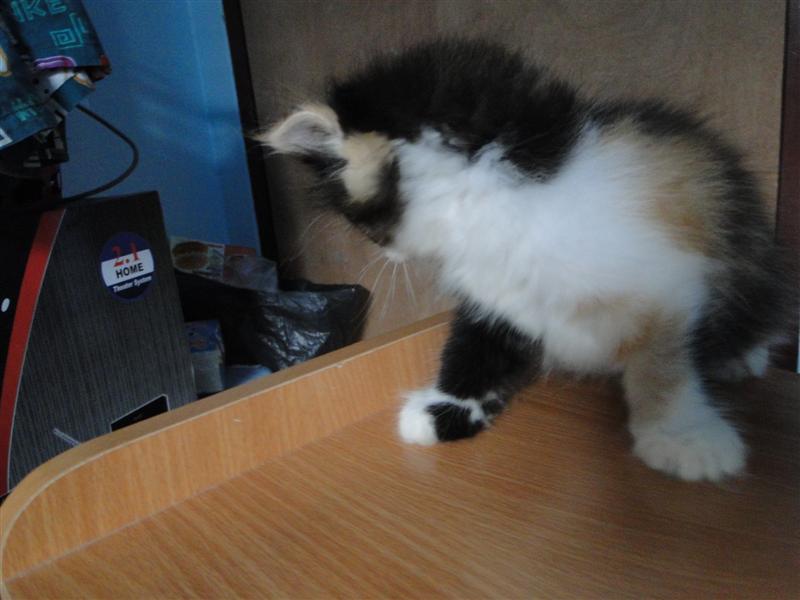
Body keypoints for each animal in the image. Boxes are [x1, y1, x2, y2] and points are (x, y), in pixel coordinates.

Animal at [260, 39, 791, 482]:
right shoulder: (496, 297)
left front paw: (682, 436)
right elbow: (471, 348)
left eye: (359, 221)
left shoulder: (671, 280)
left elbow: (663, 363)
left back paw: (741, 356)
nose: (380, 248)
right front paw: (446, 409)